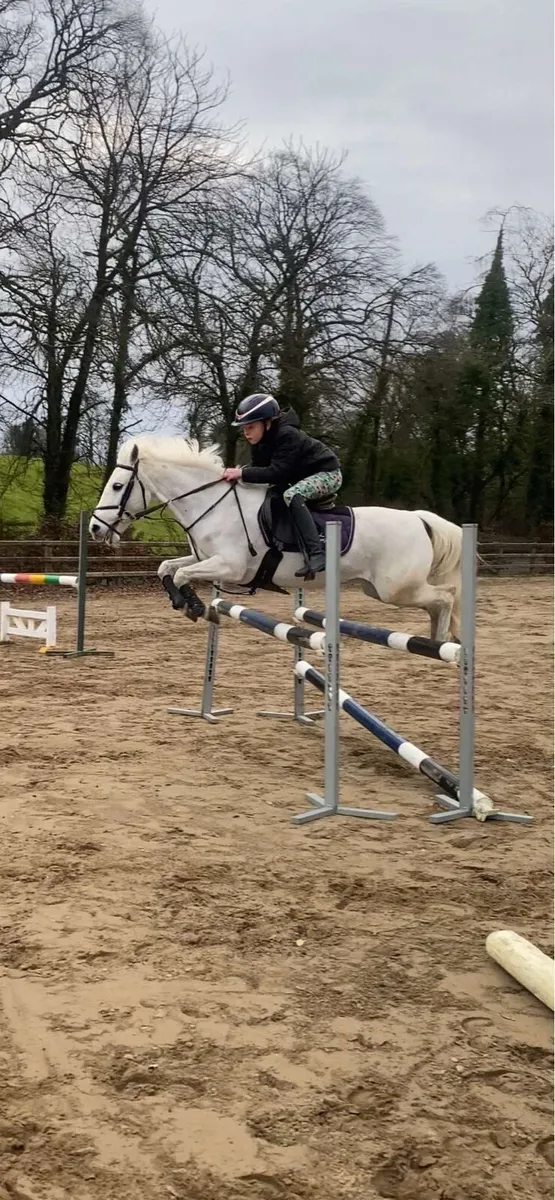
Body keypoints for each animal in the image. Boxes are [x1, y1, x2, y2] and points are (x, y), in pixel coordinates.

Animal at [89, 434, 462, 640]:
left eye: (118, 486)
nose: (95, 528)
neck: (213, 503)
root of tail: (418, 519)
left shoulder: (230, 566)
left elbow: (180, 573)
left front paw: (195, 607)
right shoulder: (204, 558)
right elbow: (166, 567)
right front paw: (183, 603)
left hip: (395, 589)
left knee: (445, 597)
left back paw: (443, 641)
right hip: (382, 589)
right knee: (436, 603)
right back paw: (438, 640)